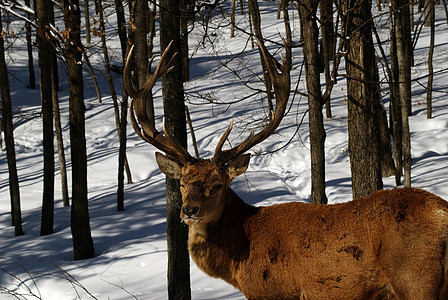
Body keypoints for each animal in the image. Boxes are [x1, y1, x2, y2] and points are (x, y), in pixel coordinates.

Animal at [124, 41, 448, 298]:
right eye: (182, 182)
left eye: (218, 185)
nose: (189, 210)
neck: (239, 259)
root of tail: (442, 212)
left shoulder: (273, 291)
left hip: (415, 278)